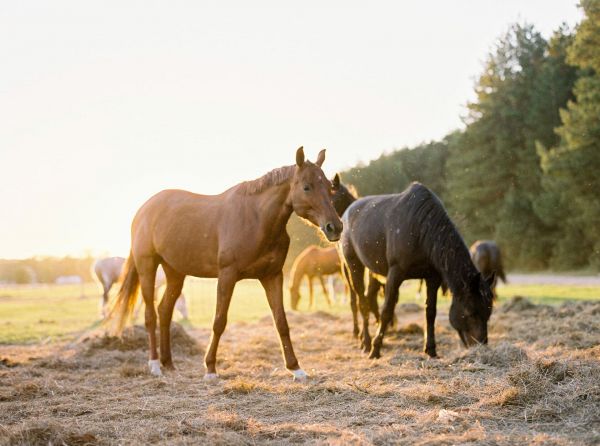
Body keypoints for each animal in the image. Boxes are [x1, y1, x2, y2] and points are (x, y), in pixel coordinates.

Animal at [108, 148, 342, 382]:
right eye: (306, 186)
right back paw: (155, 365)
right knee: (150, 315)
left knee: (164, 311)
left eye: (329, 187)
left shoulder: (272, 276)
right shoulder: (227, 276)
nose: (335, 227)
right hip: (147, 267)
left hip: (175, 272)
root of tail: (143, 210)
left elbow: (281, 322)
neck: (256, 218)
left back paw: (169, 364)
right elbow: (219, 322)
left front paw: (296, 368)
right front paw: (210, 369)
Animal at [330, 179, 494, 358]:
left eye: (488, 312)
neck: (420, 229)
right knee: (362, 301)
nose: (481, 346)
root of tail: (347, 211)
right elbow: (387, 310)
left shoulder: (433, 278)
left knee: (368, 298)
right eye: (471, 312)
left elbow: (430, 312)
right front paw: (375, 349)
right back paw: (366, 342)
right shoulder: (395, 274)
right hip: (353, 265)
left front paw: (431, 349)